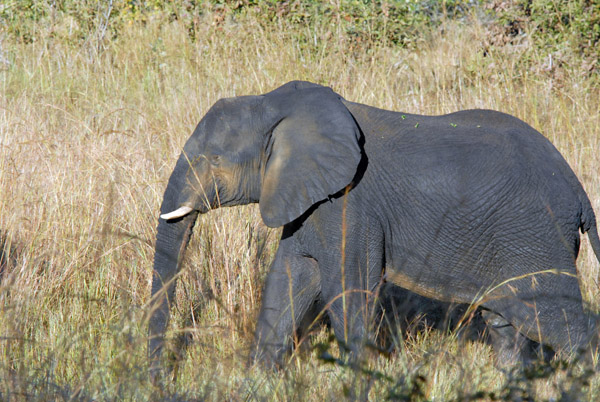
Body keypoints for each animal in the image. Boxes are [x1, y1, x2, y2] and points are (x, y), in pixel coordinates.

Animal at [148, 80, 596, 376]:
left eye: (214, 159)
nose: (159, 380)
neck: (276, 107)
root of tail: (579, 193)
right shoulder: (310, 201)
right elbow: (289, 278)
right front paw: (257, 381)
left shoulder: (350, 202)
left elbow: (345, 289)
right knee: (508, 321)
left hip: (536, 234)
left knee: (560, 321)